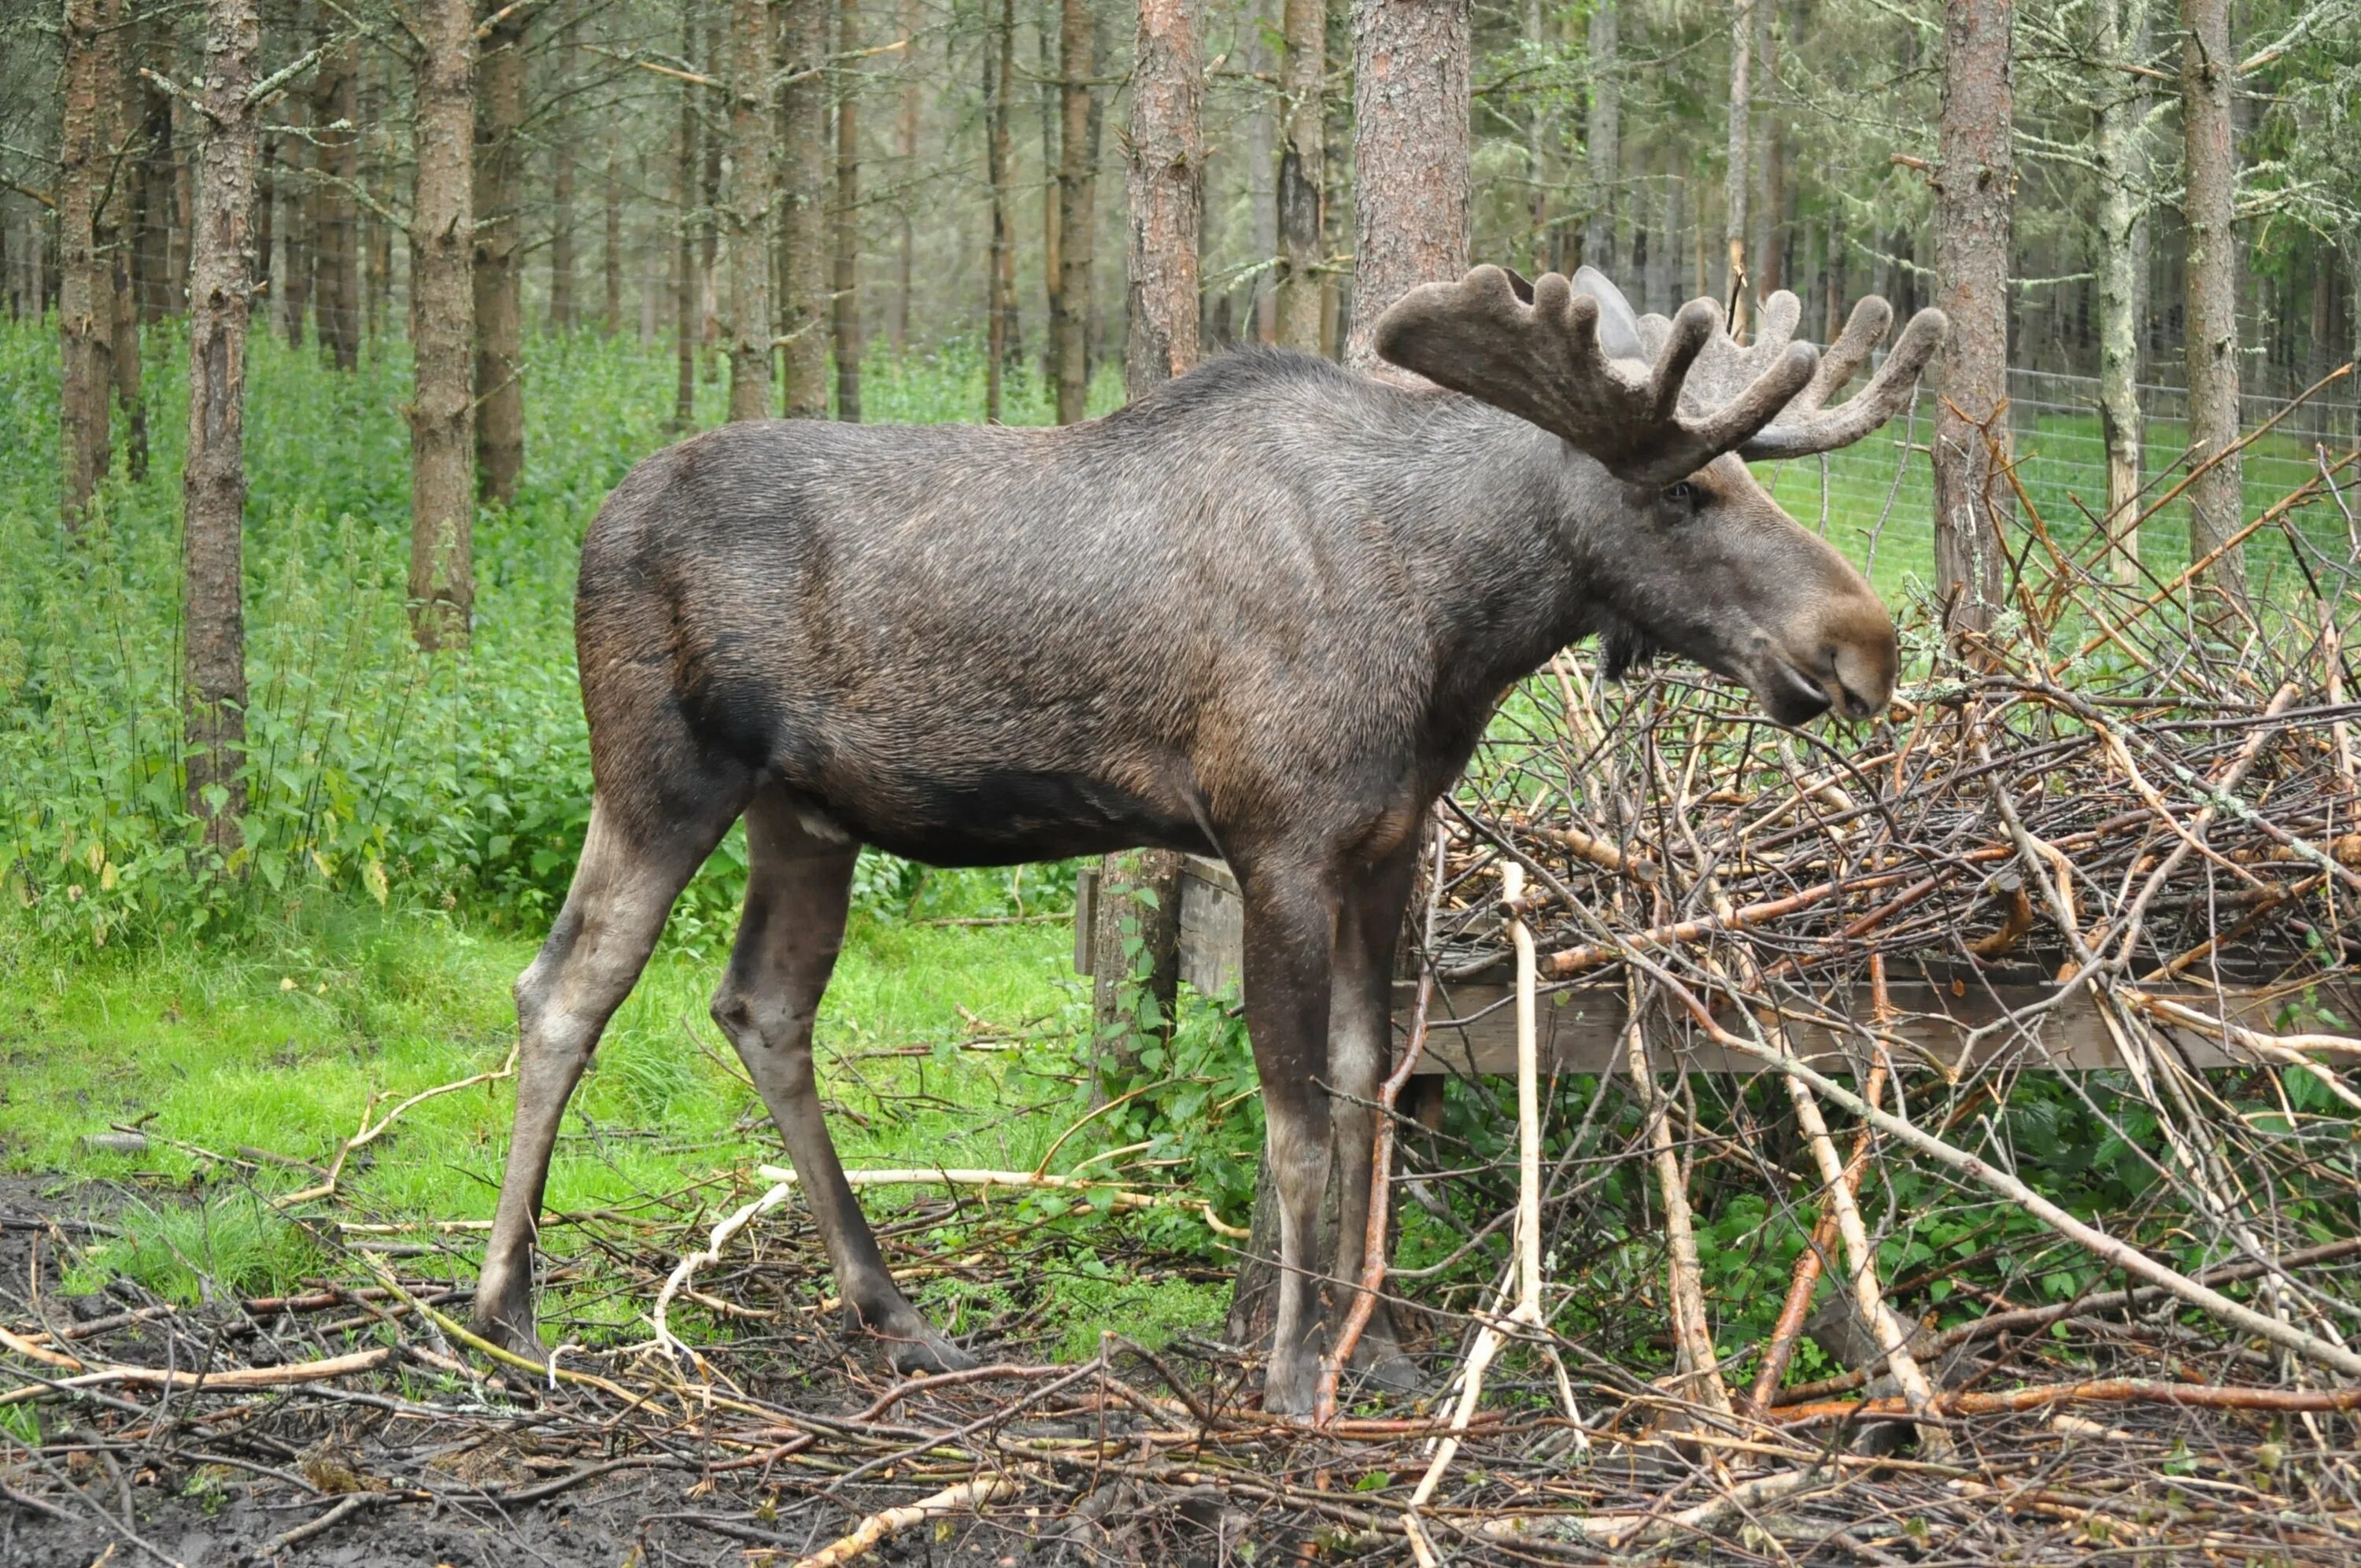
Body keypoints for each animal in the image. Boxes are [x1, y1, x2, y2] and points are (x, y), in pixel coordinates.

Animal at [470, 263, 1945, 1416]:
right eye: (1687, 494)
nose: (1863, 643)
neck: (1457, 628)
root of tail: (594, 525)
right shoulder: (1274, 835)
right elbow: (1293, 1120)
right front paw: (1290, 1370)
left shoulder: (1385, 841)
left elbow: (1368, 1085)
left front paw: (1381, 1349)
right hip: (663, 773)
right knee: (565, 988)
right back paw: (506, 1307)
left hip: (806, 812)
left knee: (763, 1006)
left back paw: (892, 1307)